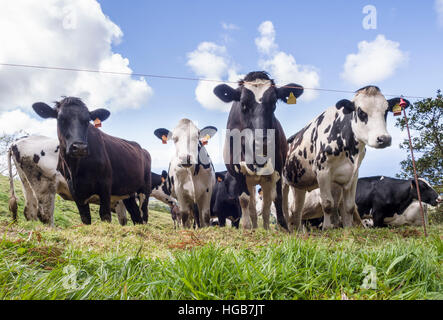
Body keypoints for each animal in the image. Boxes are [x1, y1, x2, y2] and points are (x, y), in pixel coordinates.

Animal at [32, 97, 152, 225]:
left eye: (87, 121)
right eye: (61, 119)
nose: (79, 147)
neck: (76, 169)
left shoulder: (105, 185)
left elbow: (105, 215)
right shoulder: (74, 189)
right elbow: (85, 217)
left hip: (145, 189)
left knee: (144, 213)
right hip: (127, 192)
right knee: (135, 214)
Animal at [212, 70, 306, 230]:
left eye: (274, 103)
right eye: (243, 104)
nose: (262, 142)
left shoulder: (277, 167)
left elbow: (277, 198)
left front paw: (283, 227)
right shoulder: (238, 171)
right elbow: (244, 200)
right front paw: (246, 227)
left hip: (265, 179)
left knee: (266, 204)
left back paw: (266, 227)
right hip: (250, 181)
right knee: (251, 205)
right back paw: (254, 226)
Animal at [282, 85, 412, 230]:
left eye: (386, 111)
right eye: (361, 112)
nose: (384, 139)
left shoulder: (352, 174)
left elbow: (348, 206)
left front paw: (348, 228)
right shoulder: (322, 171)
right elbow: (327, 204)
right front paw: (327, 228)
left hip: (299, 184)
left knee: (296, 210)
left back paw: (297, 231)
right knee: (284, 210)